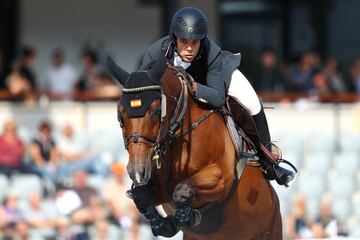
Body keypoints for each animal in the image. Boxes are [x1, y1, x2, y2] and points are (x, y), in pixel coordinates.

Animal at [108, 55, 282, 239]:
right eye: (120, 113)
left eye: (156, 111)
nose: (137, 171)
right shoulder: (160, 187)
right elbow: (141, 196)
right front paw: (164, 224)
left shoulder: (221, 178)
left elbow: (182, 190)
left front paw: (186, 217)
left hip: (271, 228)